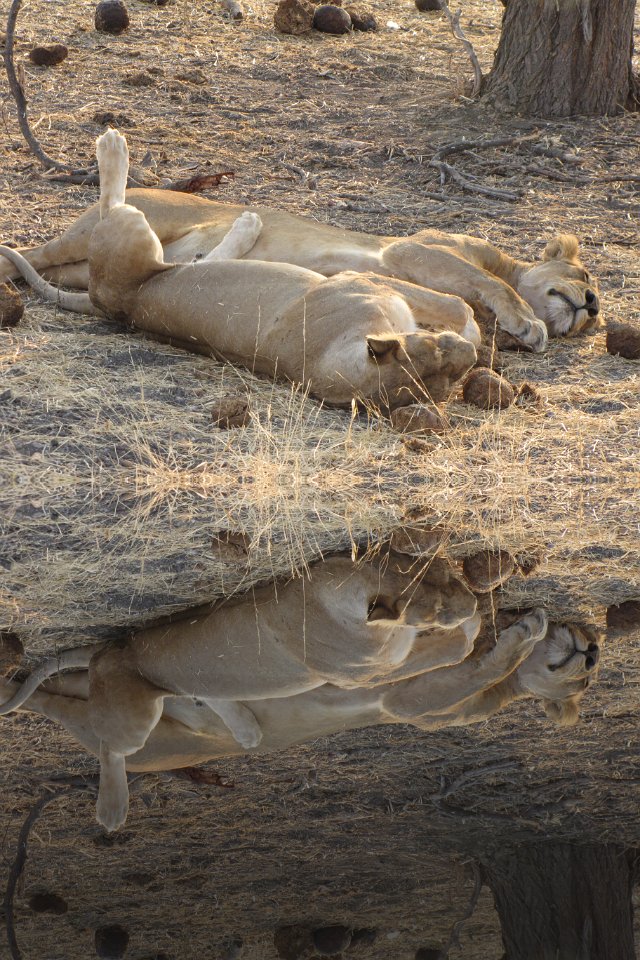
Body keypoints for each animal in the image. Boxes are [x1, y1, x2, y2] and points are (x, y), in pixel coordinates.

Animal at [0, 130, 479, 416]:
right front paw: (474, 327)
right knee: (110, 207)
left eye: (454, 375)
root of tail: (113, 304)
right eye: (436, 348)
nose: (470, 358)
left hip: (153, 258)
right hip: (133, 232)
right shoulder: (359, 281)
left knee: (187, 255)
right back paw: (114, 147)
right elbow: (454, 303)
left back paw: (244, 227)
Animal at [0, 142, 600, 349]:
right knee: (59, 236)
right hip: (105, 227)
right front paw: (528, 322)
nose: (592, 307)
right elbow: (490, 282)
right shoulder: (411, 248)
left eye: (595, 316)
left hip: (104, 268)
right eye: (587, 277)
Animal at [0, 553, 601, 832]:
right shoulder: (399, 697)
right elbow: (466, 654)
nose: (593, 653)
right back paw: (111, 809)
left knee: (57, 703)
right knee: (102, 741)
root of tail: (107, 655)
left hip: (129, 717)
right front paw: (511, 631)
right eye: (583, 681)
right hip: (138, 724)